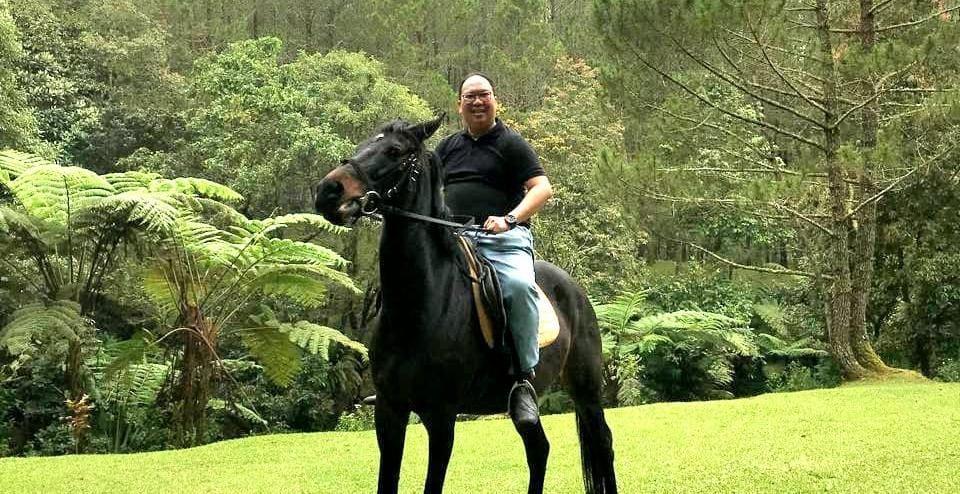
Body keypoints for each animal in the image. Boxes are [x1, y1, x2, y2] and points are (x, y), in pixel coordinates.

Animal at [315, 115, 617, 494]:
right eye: (365, 143)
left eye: (394, 151)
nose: (327, 191)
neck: (419, 307)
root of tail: (576, 291)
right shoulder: (389, 411)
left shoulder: (441, 416)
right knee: (539, 449)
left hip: (586, 388)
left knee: (602, 443)